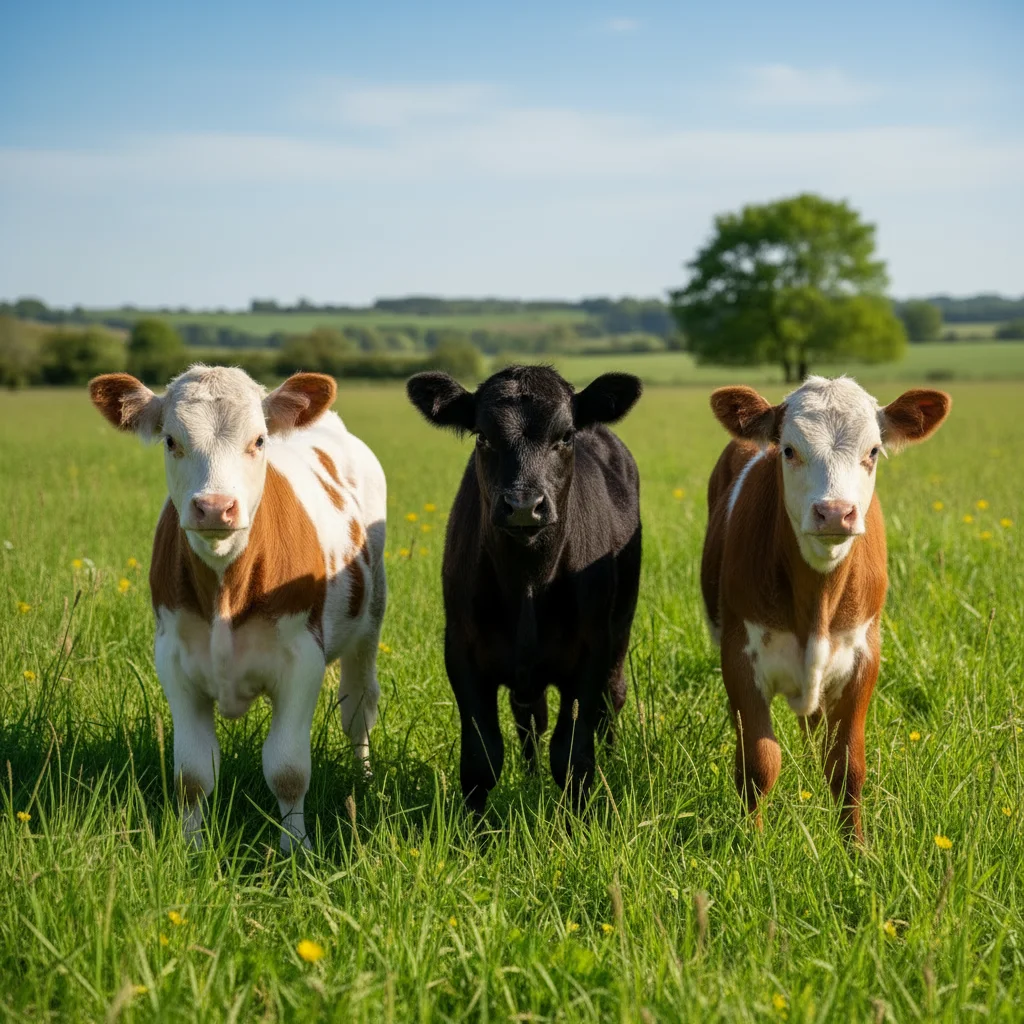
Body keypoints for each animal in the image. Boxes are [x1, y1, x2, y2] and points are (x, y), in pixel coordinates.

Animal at [89, 365, 387, 852]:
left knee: (358, 706)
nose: (214, 507)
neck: (226, 585)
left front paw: (296, 849)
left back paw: (362, 778)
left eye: (259, 440)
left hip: (371, 618)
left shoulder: (302, 661)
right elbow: (193, 774)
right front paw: (190, 847)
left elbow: (288, 770)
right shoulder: (174, 661)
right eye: (171, 440)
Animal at [406, 364, 643, 813]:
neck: (529, 581)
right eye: (483, 436)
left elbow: (572, 756)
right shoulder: (461, 650)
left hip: (621, 626)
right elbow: (481, 758)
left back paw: (613, 760)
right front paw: (477, 829)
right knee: (529, 714)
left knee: (612, 697)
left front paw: (575, 824)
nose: (522, 506)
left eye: (565, 435)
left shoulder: (592, 649)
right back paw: (531, 776)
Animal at [701, 375, 950, 841]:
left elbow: (846, 766)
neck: (816, 604)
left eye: (873, 451)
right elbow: (758, 762)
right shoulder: (740, 653)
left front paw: (856, 847)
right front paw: (752, 844)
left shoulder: (863, 655)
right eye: (789, 450)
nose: (835, 512)